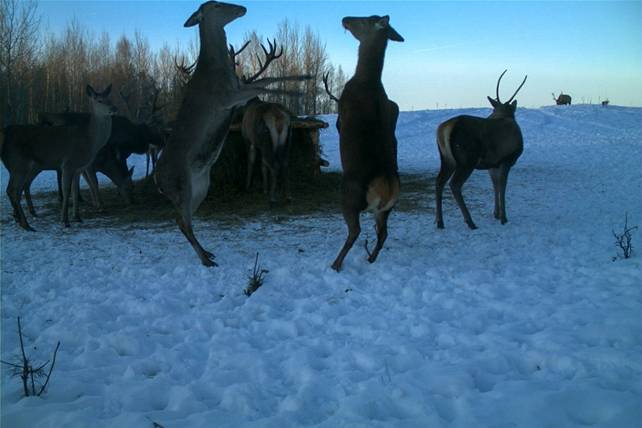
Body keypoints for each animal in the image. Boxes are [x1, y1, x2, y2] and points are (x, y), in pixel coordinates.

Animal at [2, 84, 116, 231]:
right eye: (99, 100)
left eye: (110, 98)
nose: (114, 108)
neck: (90, 142)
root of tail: (6, 134)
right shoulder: (68, 163)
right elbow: (67, 191)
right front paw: (65, 220)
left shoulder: (79, 168)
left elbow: (75, 190)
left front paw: (77, 217)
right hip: (19, 164)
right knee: (12, 190)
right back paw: (26, 224)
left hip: (21, 167)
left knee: (18, 188)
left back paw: (21, 220)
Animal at [152, 0, 308, 268]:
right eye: (216, 4)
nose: (242, 7)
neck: (218, 70)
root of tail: (157, 181)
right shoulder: (226, 97)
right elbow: (265, 84)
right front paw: (299, 92)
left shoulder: (238, 91)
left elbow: (269, 78)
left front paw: (305, 79)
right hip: (181, 184)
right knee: (182, 221)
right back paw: (206, 260)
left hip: (201, 186)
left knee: (184, 221)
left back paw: (208, 253)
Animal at [330, 15, 404, 274]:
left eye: (364, 20)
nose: (345, 19)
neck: (368, 80)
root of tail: (388, 188)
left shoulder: (343, 106)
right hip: (385, 210)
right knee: (383, 234)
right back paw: (371, 258)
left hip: (349, 195)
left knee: (355, 231)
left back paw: (336, 263)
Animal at [436, 70, 524, 231]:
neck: (504, 114)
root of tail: (446, 129)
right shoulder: (507, 160)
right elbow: (502, 186)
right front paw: (503, 217)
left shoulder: (492, 164)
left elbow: (495, 185)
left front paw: (496, 213)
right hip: (466, 160)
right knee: (454, 184)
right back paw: (470, 221)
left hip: (446, 159)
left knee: (439, 181)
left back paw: (440, 221)